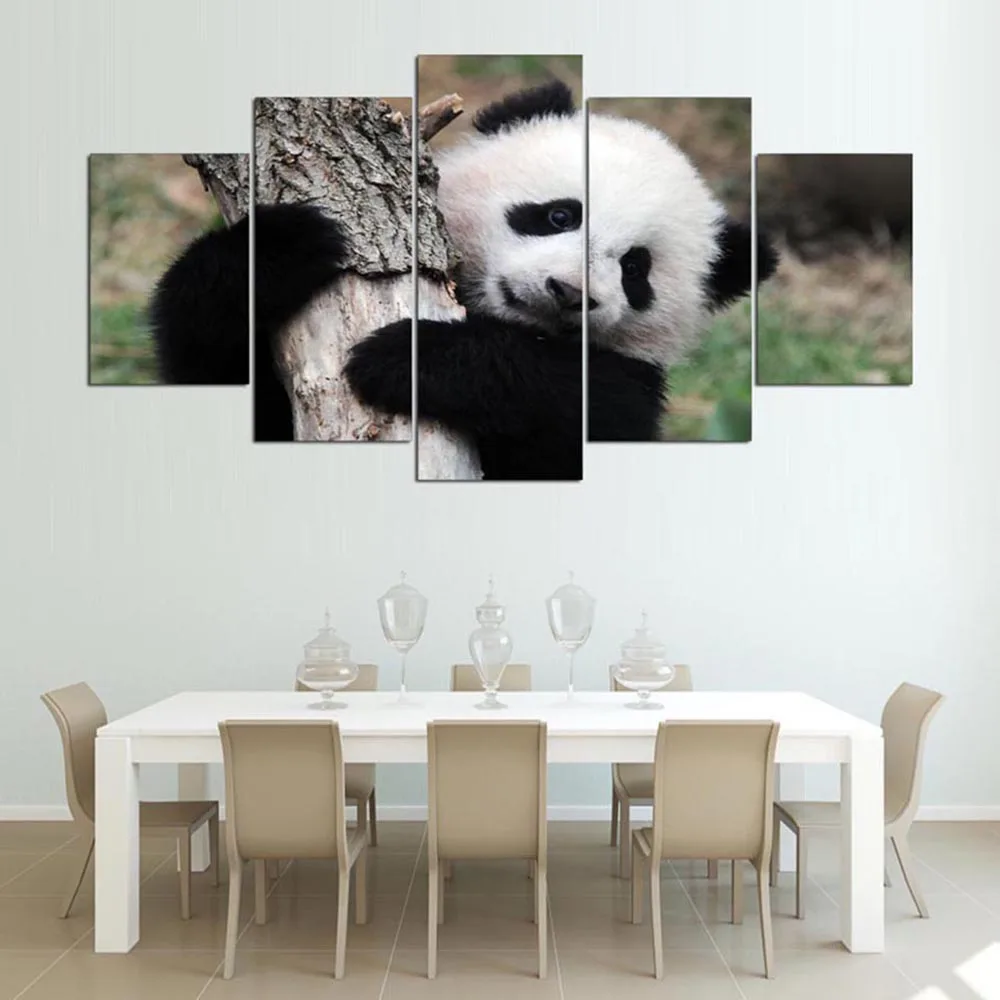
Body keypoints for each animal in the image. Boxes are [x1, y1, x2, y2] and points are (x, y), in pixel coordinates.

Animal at [149, 82, 776, 474]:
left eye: (634, 268)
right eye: (560, 215)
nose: (568, 292)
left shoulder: (628, 390)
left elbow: (574, 399)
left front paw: (408, 358)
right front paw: (287, 246)